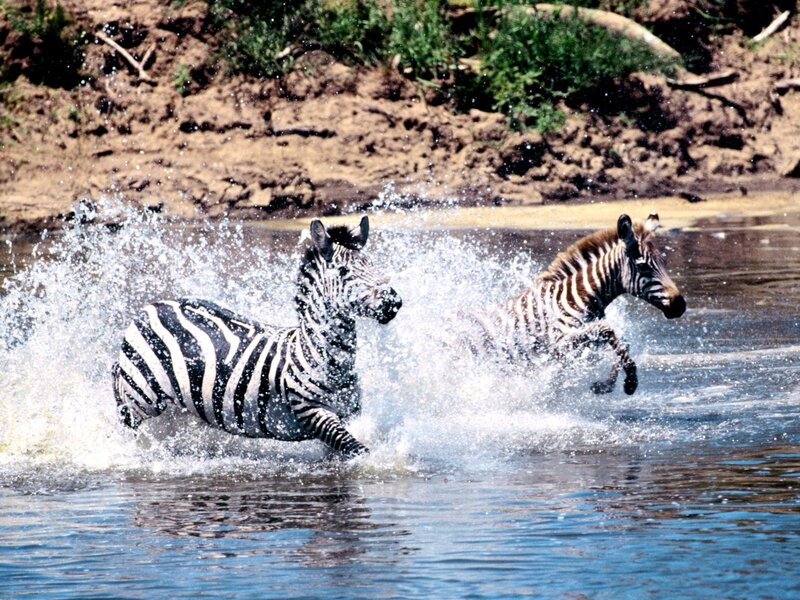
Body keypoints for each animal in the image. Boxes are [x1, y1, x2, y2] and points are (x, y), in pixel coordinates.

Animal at [111, 216, 402, 458]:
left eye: (372, 265)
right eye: (343, 272)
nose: (393, 301)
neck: (318, 354)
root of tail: (150, 308)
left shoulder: (349, 414)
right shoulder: (311, 411)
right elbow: (357, 448)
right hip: (140, 400)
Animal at [463, 213, 685, 395]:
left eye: (664, 262)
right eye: (643, 266)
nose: (680, 306)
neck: (580, 296)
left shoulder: (582, 341)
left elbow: (622, 341)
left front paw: (604, 385)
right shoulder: (558, 342)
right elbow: (607, 329)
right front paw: (630, 381)